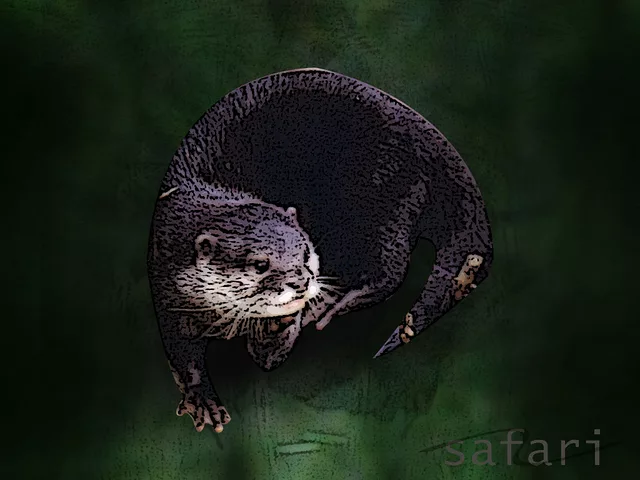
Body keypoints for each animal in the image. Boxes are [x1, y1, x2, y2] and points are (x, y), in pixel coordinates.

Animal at [147, 68, 493, 434]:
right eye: (259, 264)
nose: (300, 282)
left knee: (391, 267)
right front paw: (203, 400)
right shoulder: (165, 283)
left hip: (382, 199)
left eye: (305, 252)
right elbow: (182, 355)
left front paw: (286, 321)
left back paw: (334, 304)